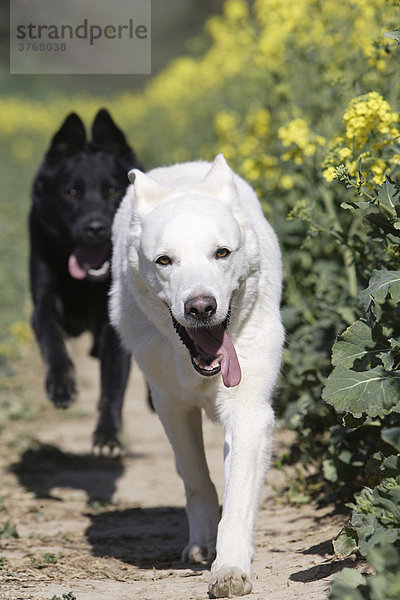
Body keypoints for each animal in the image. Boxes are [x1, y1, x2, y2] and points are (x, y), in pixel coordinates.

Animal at [28, 109, 141, 454]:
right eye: (72, 192)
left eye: (112, 190)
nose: (96, 228)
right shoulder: (43, 302)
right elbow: (52, 339)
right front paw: (61, 385)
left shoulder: (113, 322)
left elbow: (113, 384)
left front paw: (107, 436)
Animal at [109, 154, 284, 596]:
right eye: (164, 261)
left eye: (221, 253)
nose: (201, 307)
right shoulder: (170, 406)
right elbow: (196, 480)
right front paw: (203, 545)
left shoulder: (249, 412)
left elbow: (237, 501)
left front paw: (230, 569)